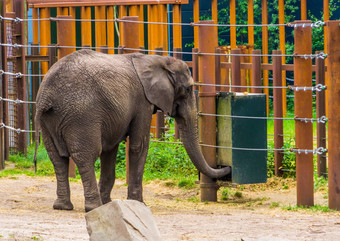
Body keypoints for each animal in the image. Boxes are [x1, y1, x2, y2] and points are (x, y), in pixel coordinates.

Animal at [33, 50, 231, 212]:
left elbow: (110, 150)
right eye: (189, 89)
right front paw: (139, 204)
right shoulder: (142, 101)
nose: (227, 168)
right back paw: (93, 207)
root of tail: (46, 95)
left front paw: (109, 203)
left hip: (48, 120)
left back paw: (63, 206)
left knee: (57, 159)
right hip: (81, 116)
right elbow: (139, 146)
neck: (156, 60)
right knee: (85, 156)